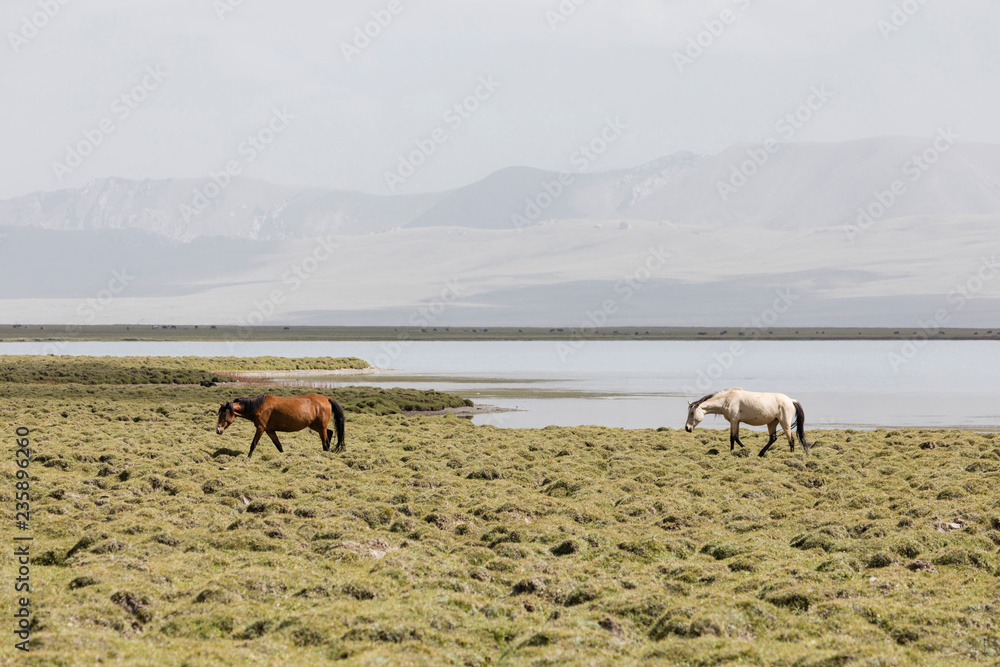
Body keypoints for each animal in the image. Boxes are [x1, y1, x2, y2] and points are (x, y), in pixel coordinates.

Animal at [217, 396, 346, 460]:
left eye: (224, 414)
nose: (218, 430)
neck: (259, 406)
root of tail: (326, 398)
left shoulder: (261, 428)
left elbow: (253, 444)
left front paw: (248, 458)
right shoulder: (269, 430)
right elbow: (279, 446)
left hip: (320, 426)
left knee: (325, 441)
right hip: (315, 425)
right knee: (329, 433)